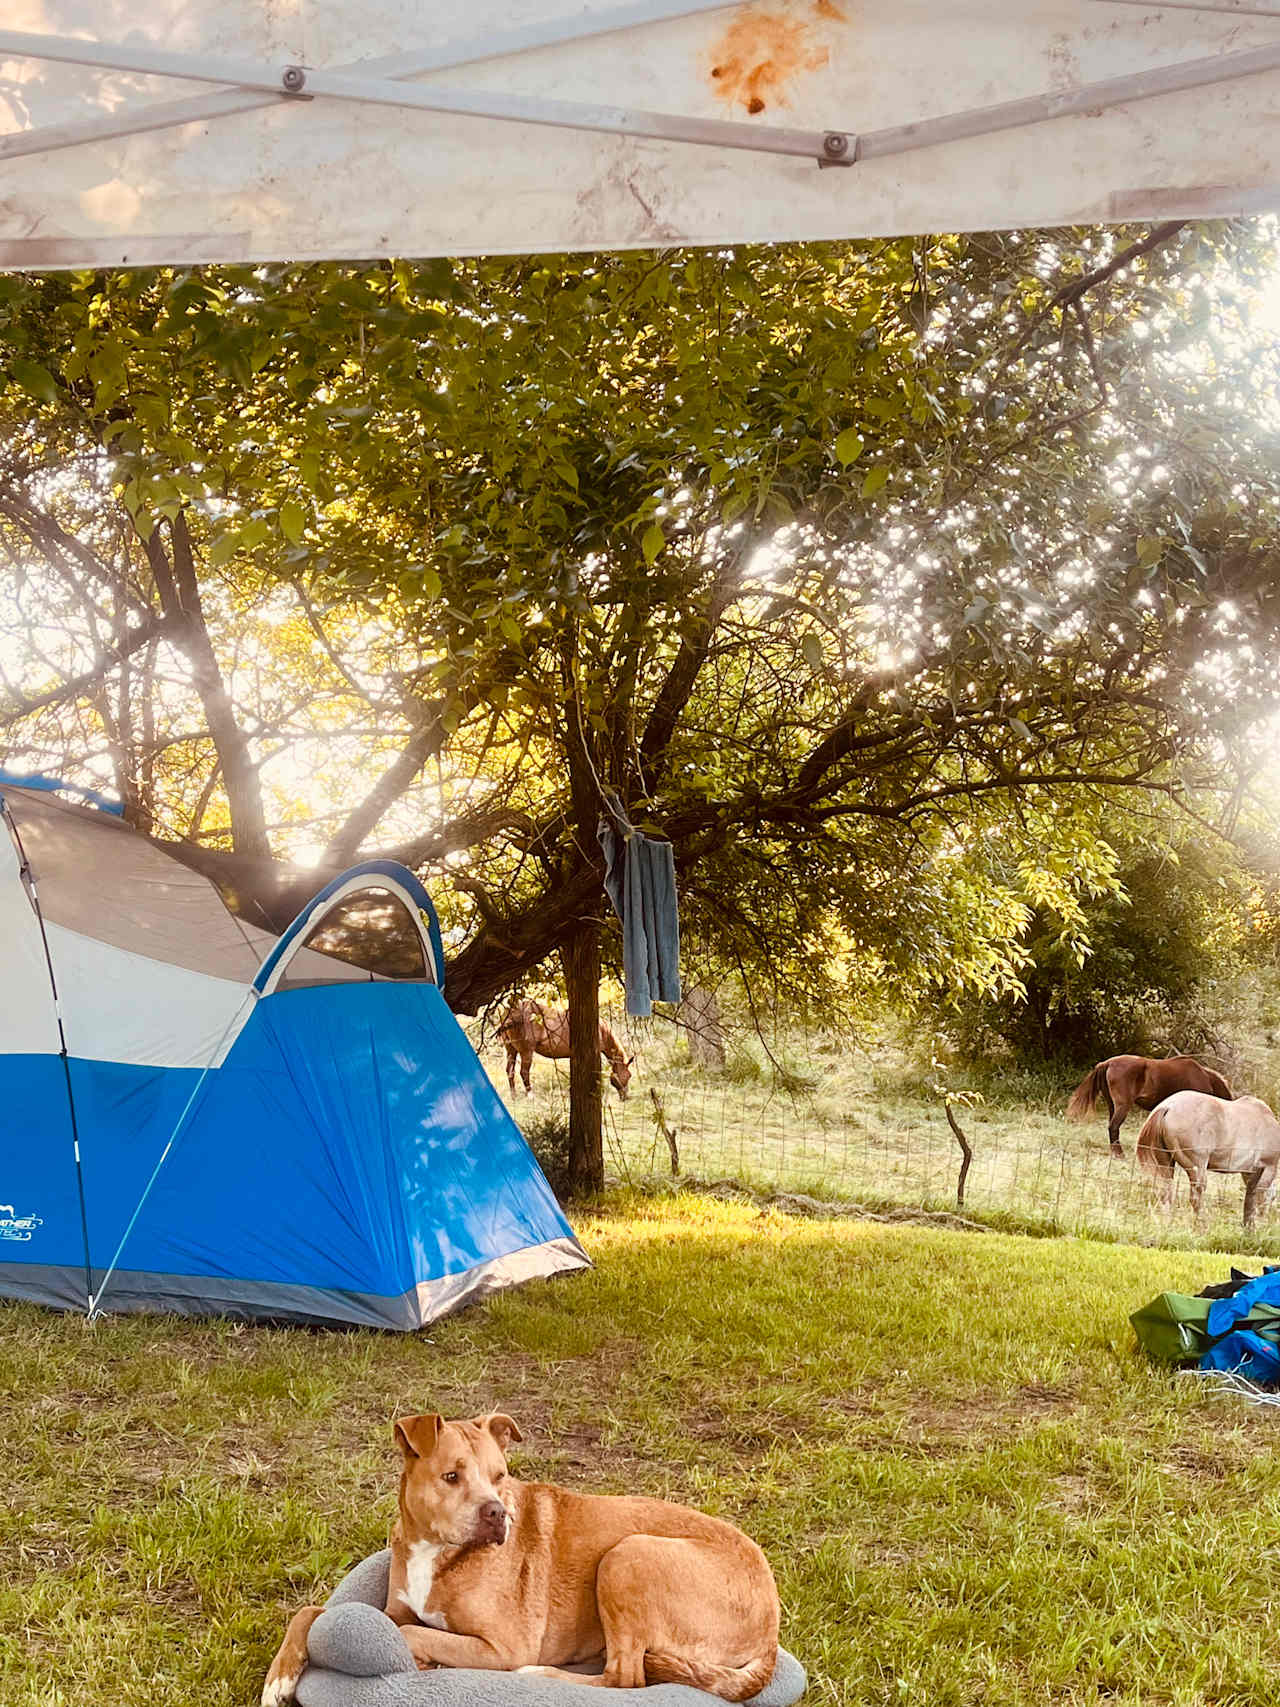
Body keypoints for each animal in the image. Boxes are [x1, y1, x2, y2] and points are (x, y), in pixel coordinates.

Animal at [264, 1413, 778, 1707]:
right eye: (451, 1476)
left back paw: (544, 1676)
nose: (498, 1514)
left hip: (628, 1555)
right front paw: (279, 1678)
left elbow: (413, 1634)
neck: (438, 1550)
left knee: (625, 1679)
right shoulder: (394, 1606)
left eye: (500, 1476)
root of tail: (772, 1627)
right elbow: (312, 1611)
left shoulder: (504, 1646)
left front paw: (428, 1662)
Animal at [494, 996, 638, 1106]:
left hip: (511, 1051)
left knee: (510, 1072)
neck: (602, 1030)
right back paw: (530, 1096)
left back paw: (513, 1096)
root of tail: (510, 1013)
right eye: (629, 1075)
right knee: (523, 1072)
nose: (626, 1097)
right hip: (526, 1052)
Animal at [1140, 1092, 1280, 1229]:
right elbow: (1261, 1197)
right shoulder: (1268, 1167)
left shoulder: (1250, 1172)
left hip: (1166, 1165)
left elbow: (1250, 1198)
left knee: (1166, 1194)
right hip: (1197, 1168)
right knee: (1196, 1198)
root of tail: (1167, 1106)